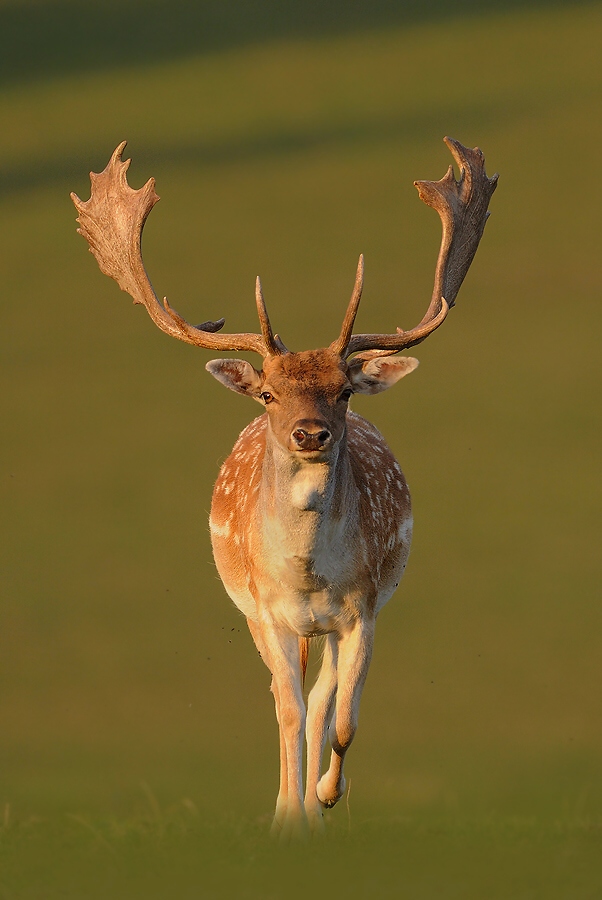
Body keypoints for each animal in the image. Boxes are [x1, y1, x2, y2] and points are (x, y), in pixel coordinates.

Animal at [71, 137, 497, 839]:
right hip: (255, 613)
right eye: (270, 392)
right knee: (283, 698)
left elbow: (342, 717)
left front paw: (325, 797)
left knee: (322, 697)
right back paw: (285, 804)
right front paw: (289, 815)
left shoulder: (364, 608)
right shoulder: (265, 611)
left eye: (344, 389)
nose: (309, 432)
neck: (305, 574)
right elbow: (290, 711)